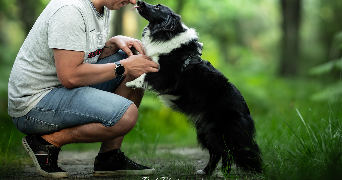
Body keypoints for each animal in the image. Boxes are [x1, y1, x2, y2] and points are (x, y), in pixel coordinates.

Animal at [127, 0, 262, 176]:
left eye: (157, 7)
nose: (139, 1)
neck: (168, 33)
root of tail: (247, 114)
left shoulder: (166, 76)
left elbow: (145, 76)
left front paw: (129, 81)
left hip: (220, 131)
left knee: (228, 151)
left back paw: (224, 173)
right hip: (205, 131)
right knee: (218, 152)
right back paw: (206, 172)